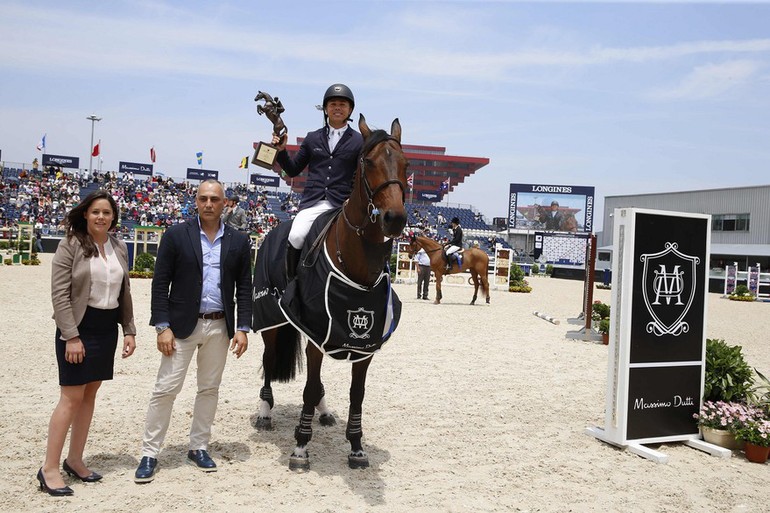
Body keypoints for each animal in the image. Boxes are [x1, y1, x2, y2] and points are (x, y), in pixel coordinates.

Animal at [252, 114, 408, 470]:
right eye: (368, 162)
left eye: (406, 164)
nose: (394, 218)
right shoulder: (314, 331)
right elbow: (308, 388)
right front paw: (300, 448)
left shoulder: (363, 344)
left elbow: (356, 394)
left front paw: (356, 447)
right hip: (271, 318)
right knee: (269, 359)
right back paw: (266, 412)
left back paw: (323, 413)